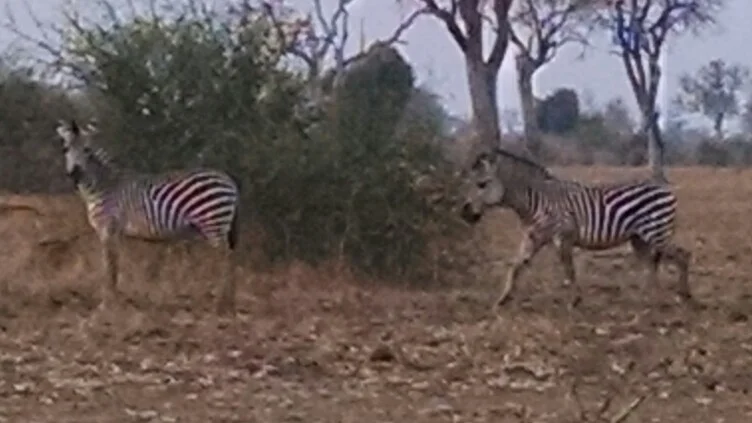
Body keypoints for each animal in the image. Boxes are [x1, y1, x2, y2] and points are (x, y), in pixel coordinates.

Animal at [55, 119, 241, 315]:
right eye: (66, 149)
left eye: (87, 150)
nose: (75, 174)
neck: (102, 185)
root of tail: (229, 180)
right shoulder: (115, 232)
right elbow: (114, 265)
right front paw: (114, 301)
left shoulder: (108, 227)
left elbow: (109, 266)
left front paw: (106, 305)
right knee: (231, 256)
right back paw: (230, 303)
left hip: (213, 222)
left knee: (226, 258)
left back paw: (220, 304)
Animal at [460, 147, 692, 310]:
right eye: (469, 182)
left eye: (482, 184)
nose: (465, 214)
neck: (534, 201)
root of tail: (666, 189)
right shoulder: (533, 236)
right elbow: (516, 266)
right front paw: (502, 299)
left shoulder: (562, 236)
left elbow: (569, 269)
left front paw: (575, 301)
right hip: (639, 239)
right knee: (650, 264)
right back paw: (649, 298)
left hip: (656, 232)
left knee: (682, 255)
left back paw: (683, 295)